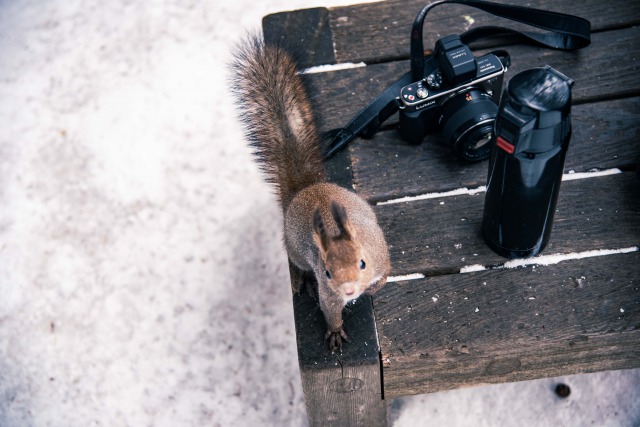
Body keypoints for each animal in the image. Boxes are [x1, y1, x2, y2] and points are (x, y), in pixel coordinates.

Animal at [230, 35, 390, 352]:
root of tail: (306, 189)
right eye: (327, 272)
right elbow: (330, 310)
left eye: (363, 262)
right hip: (294, 249)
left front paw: (373, 288)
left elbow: (386, 275)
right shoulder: (328, 291)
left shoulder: (381, 255)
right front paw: (336, 331)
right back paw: (302, 279)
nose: (349, 290)